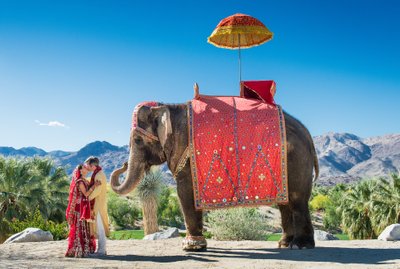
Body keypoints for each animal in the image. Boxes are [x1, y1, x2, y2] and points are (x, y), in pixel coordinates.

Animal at [110, 102, 318, 249]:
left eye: (137, 140)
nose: (123, 165)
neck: (166, 106)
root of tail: (307, 133)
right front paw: (197, 244)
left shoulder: (185, 152)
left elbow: (184, 192)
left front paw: (190, 246)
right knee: (285, 204)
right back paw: (284, 244)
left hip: (296, 160)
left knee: (297, 200)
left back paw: (300, 246)